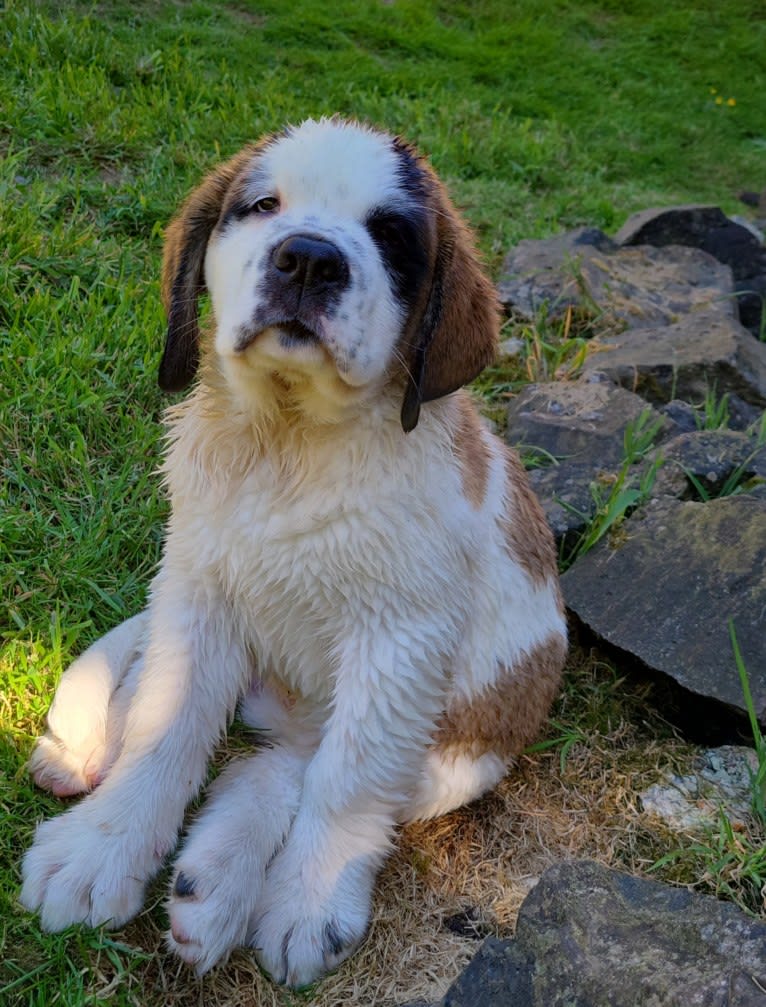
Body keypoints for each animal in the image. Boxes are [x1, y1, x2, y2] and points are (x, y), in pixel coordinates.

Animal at [19, 115, 567, 982]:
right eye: (263, 206)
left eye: (391, 236)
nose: (308, 257)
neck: (289, 443)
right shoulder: (200, 588)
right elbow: (163, 727)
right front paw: (101, 850)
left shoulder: (399, 641)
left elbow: (346, 781)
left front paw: (310, 902)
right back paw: (86, 752)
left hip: (462, 750)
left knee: (294, 765)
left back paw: (215, 886)